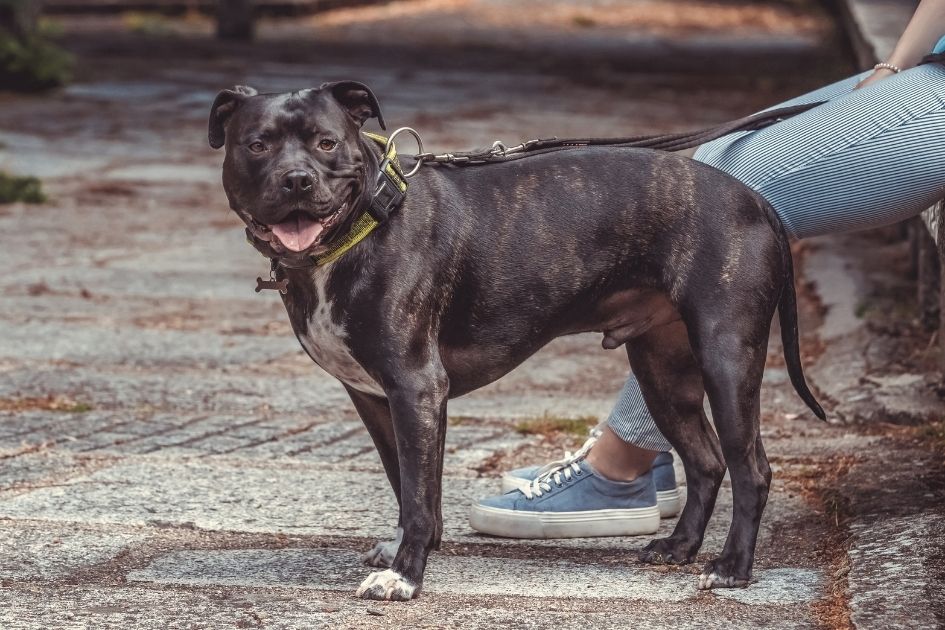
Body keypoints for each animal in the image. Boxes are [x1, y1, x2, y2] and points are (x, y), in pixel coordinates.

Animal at [206, 81, 820, 604]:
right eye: (257, 145)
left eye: (326, 143)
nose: (297, 180)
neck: (359, 229)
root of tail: (757, 201)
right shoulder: (377, 399)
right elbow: (409, 485)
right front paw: (407, 550)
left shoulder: (415, 387)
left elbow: (419, 493)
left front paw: (405, 576)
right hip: (663, 374)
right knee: (706, 461)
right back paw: (679, 547)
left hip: (726, 359)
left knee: (750, 468)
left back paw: (732, 568)